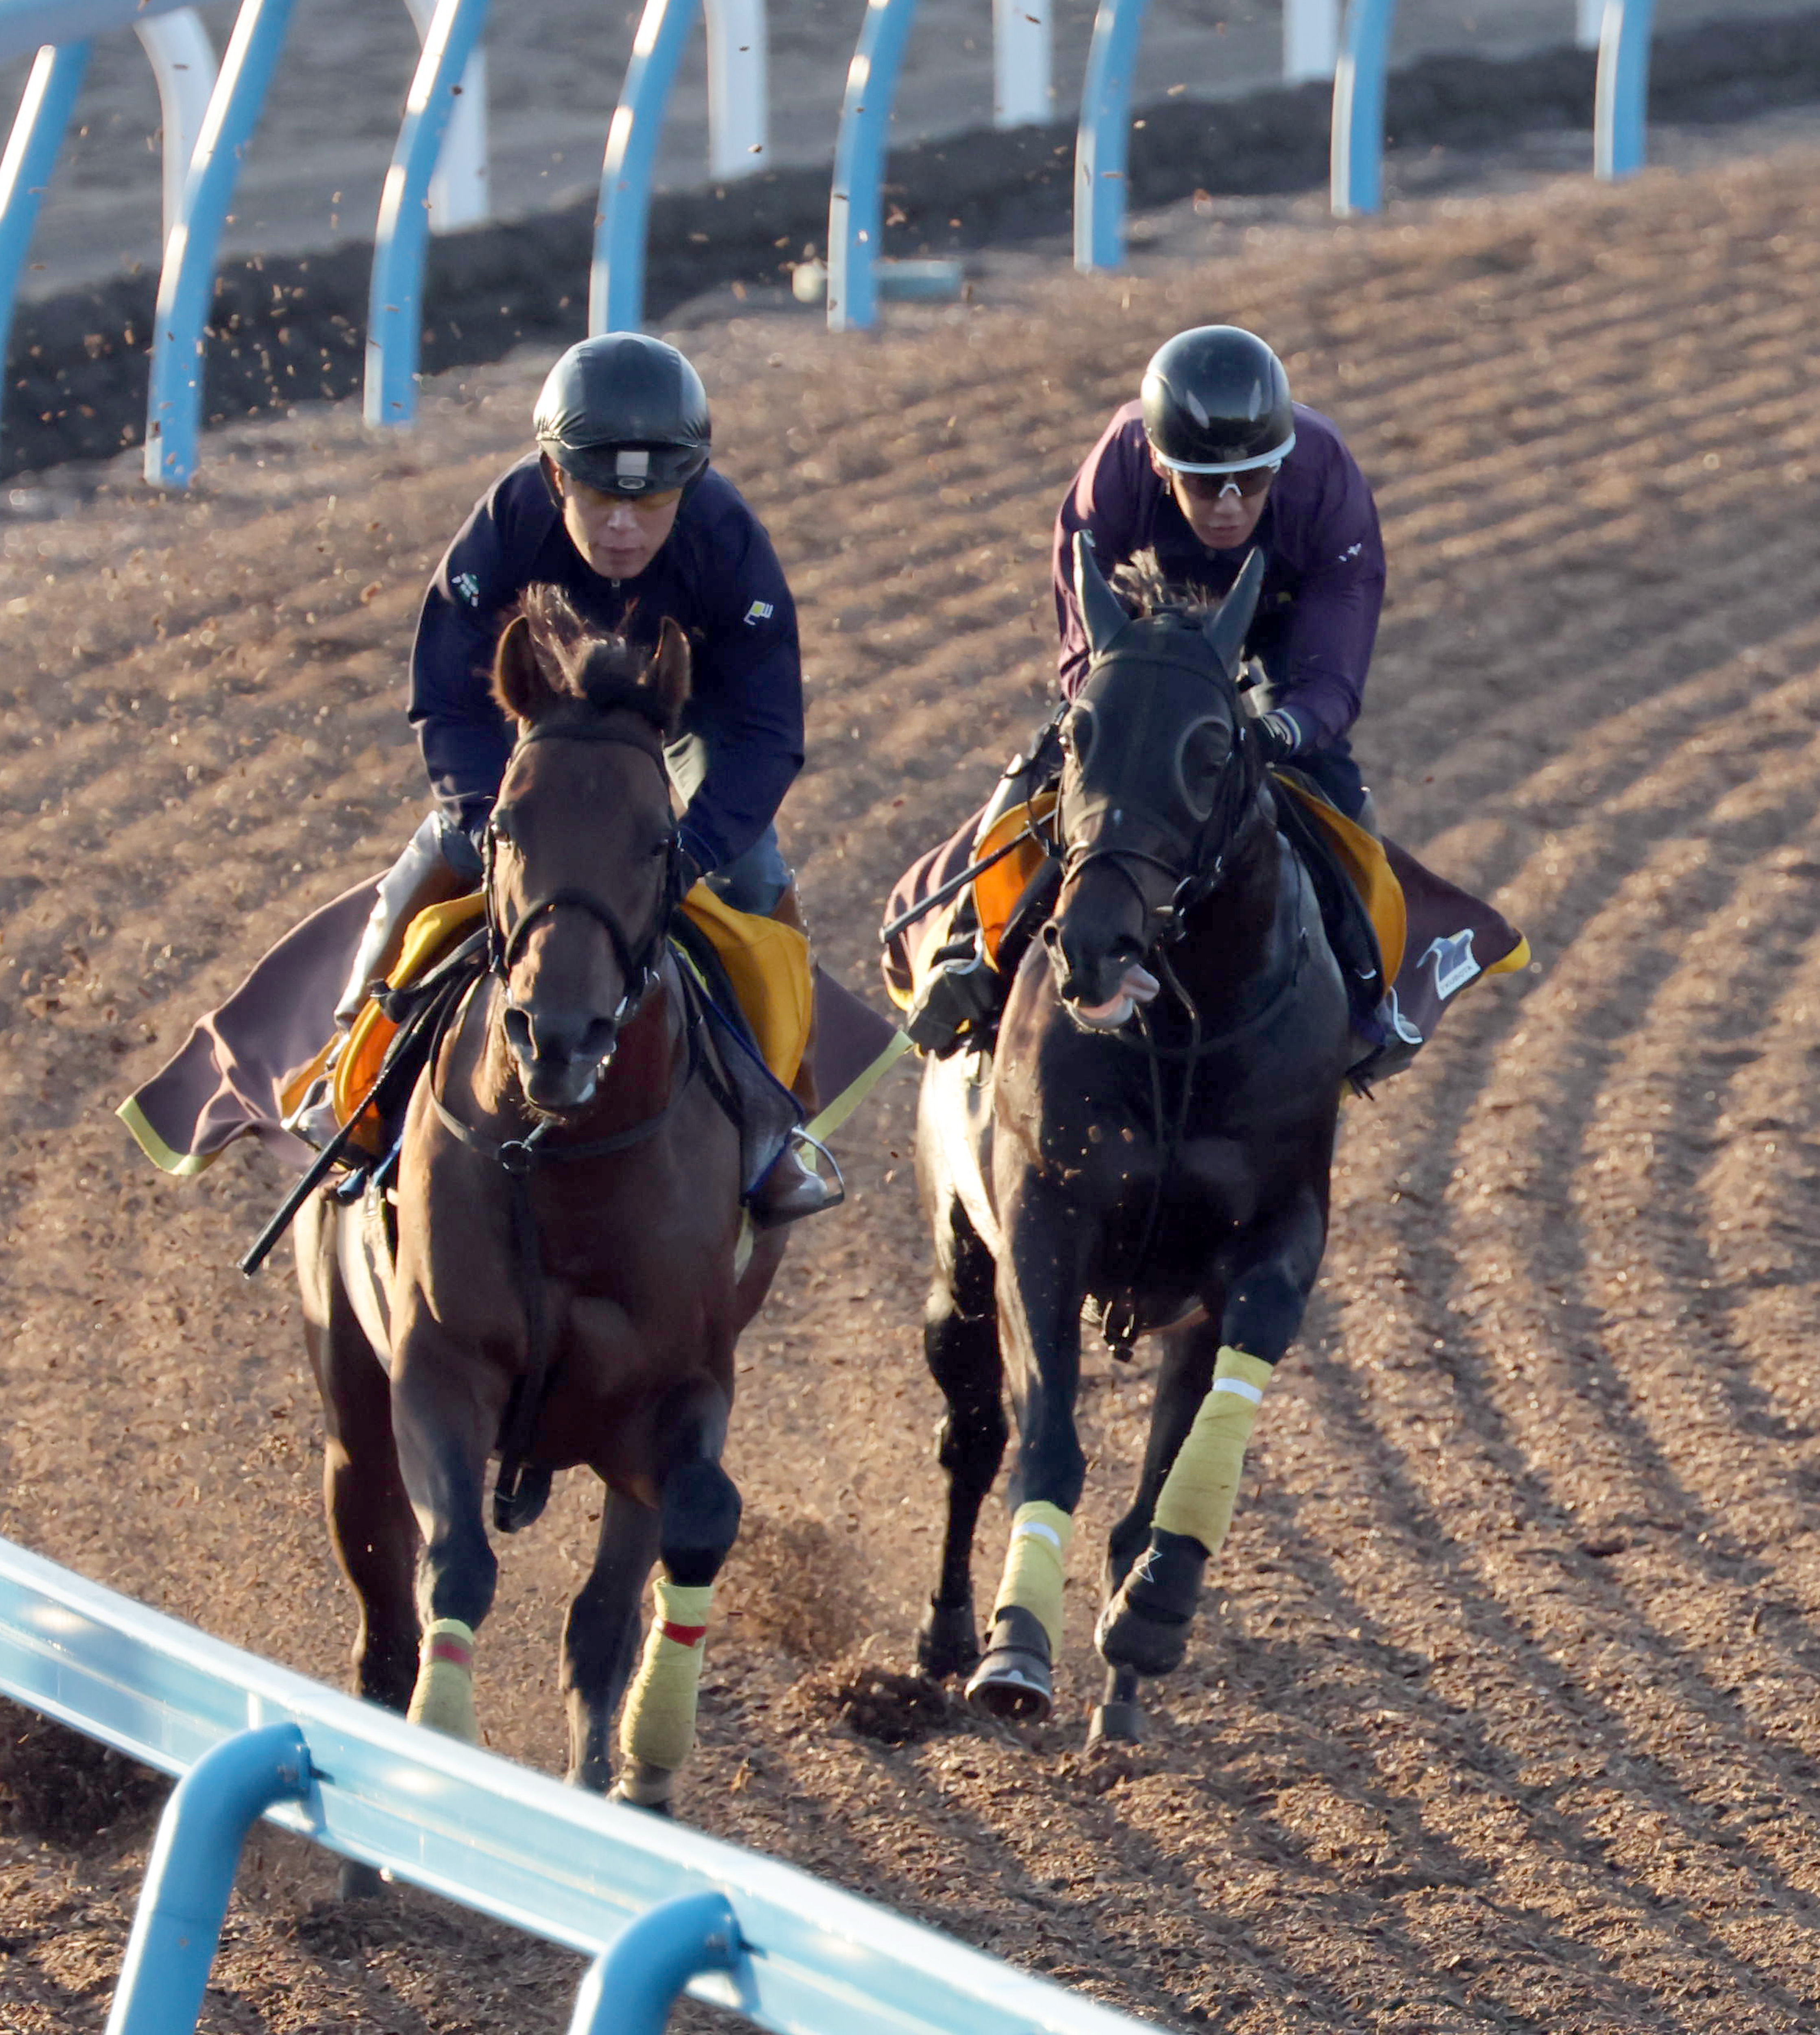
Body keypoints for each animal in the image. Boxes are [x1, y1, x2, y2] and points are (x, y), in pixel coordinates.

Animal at [295, 590, 786, 1831]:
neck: (558, 1161)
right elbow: (452, 1569)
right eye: (510, 824)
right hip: (347, 1394)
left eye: (657, 838)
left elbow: (694, 1524)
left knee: (604, 1610)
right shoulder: (436, 1366)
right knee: (379, 1600)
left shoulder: (675, 1388)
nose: (555, 1035)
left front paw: (646, 1765)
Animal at [920, 545, 1360, 1750]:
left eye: (1210, 746)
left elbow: (1203, 1432)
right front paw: (1015, 1644)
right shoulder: (1040, 1215)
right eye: (1074, 732)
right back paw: (945, 1634)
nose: (1094, 940)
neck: (1179, 1035)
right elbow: (1046, 1433)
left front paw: (1153, 1611)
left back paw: (1118, 1688)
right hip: (954, 1256)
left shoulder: (1272, 1233)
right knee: (969, 1433)